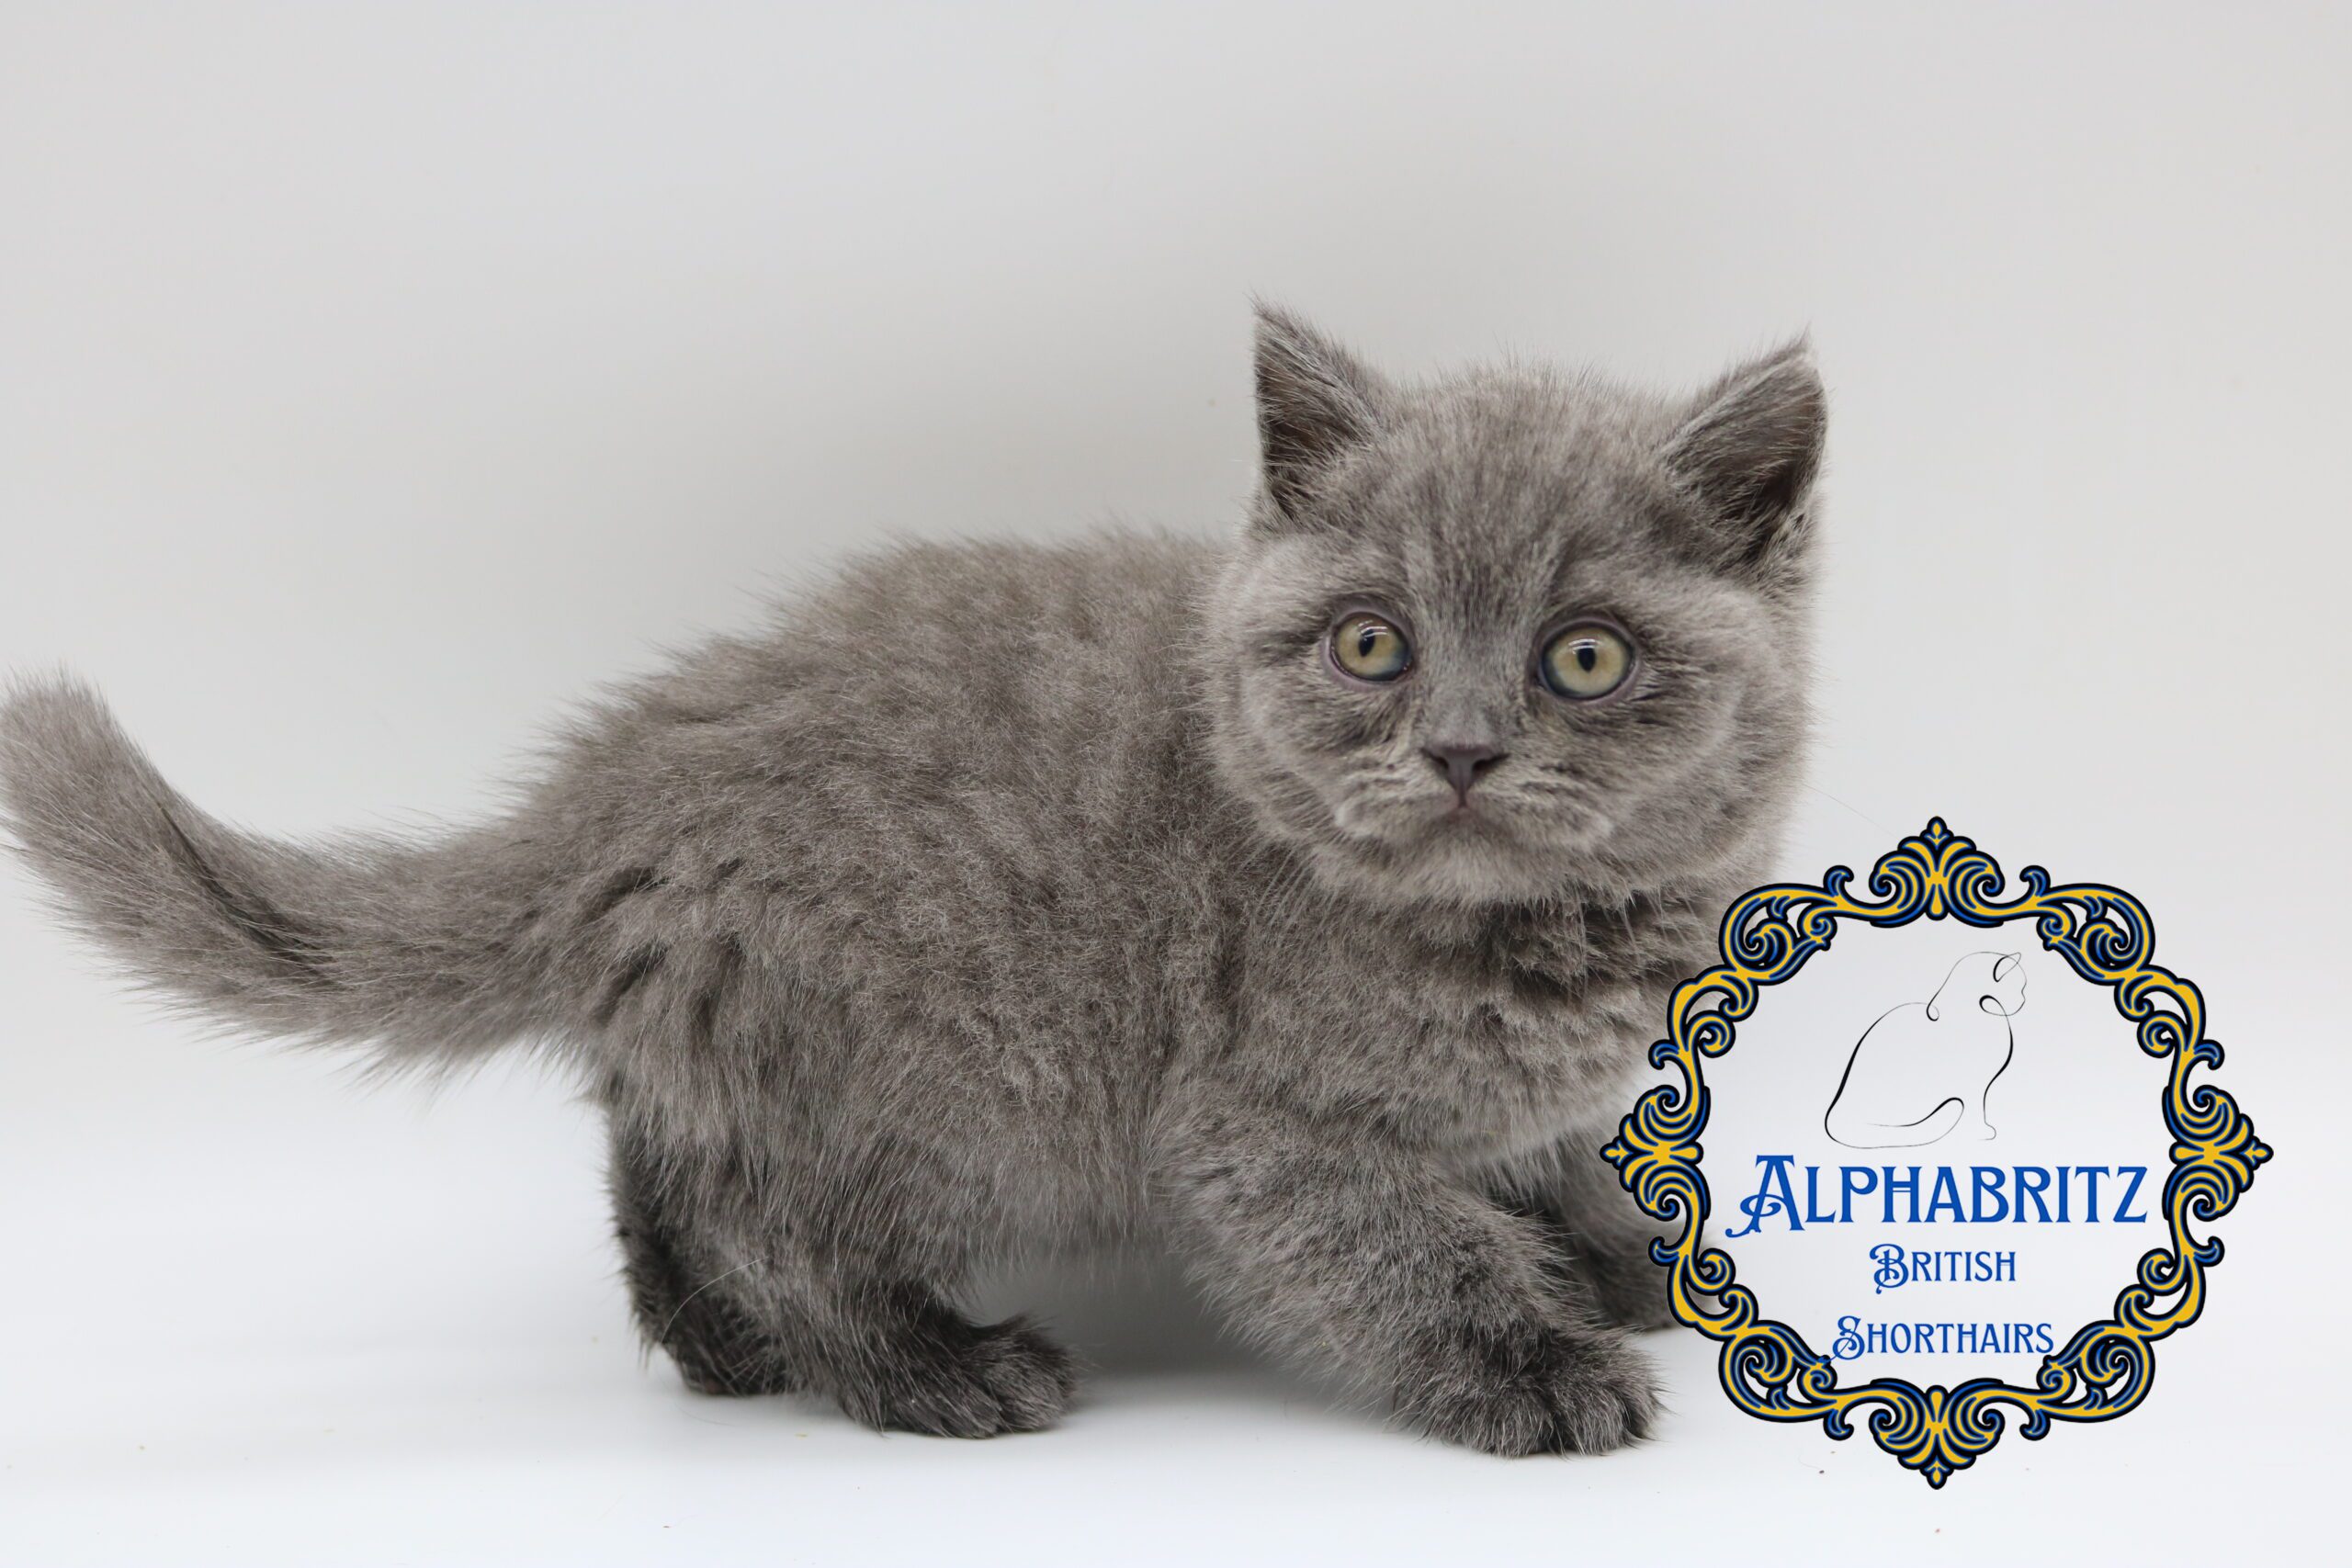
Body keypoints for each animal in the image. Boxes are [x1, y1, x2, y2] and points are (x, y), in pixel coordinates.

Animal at [0, 305, 1826, 1456]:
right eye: (1372, 645)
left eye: (1583, 656)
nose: (1456, 750)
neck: (1528, 929)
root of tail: (615, 792)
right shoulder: (1255, 1127)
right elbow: (1399, 1242)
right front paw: (1534, 1359)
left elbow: (1560, 1151)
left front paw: (1632, 1256)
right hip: (936, 1081)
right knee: (780, 1220)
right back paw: (930, 1369)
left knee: (661, 1147)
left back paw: (714, 1341)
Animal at [1824, 952, 2026, 1148]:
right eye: (2019, 987)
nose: (2023, 1001)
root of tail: (1836, 1111)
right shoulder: (1974, 1085)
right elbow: (1976, 1109)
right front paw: (1981, 1133)